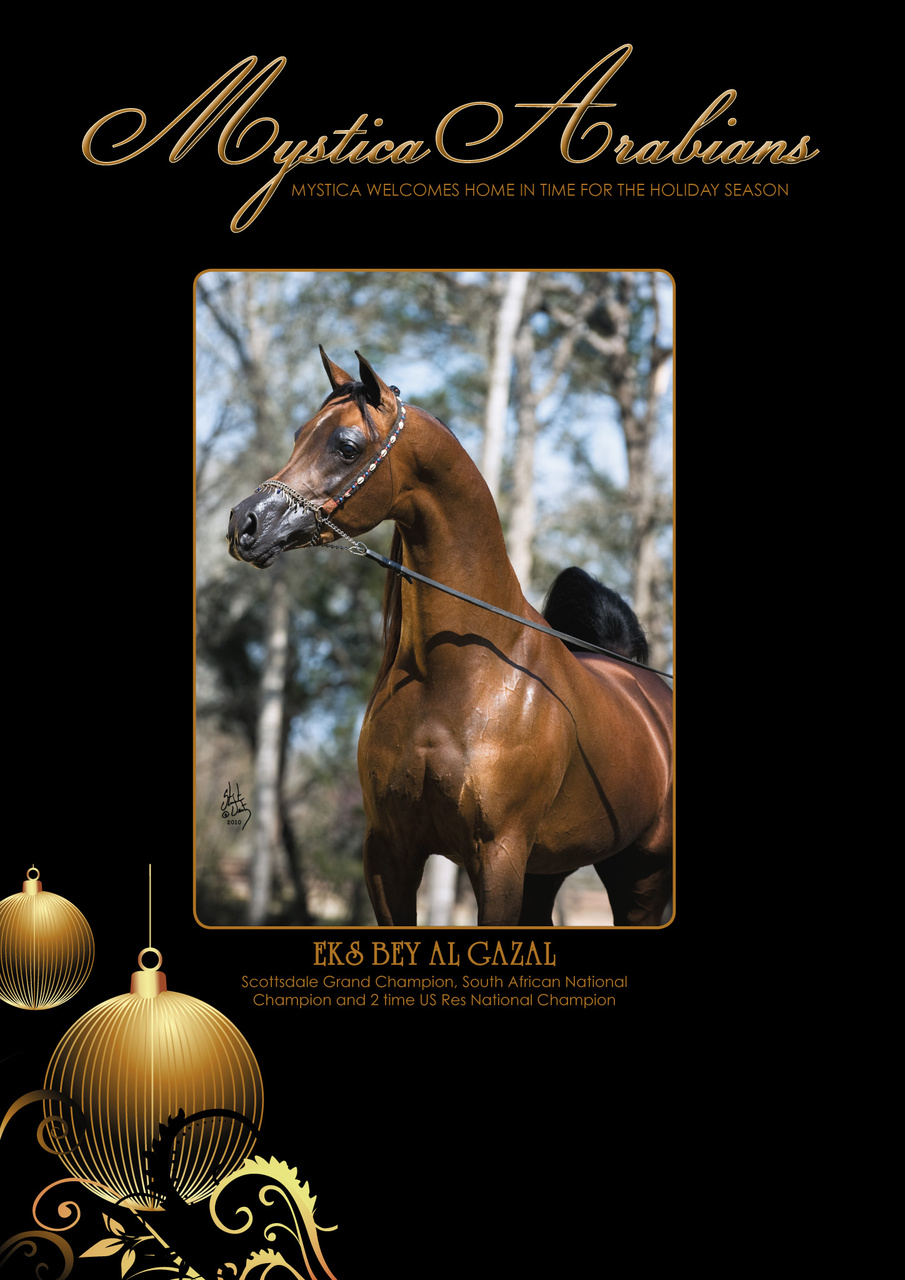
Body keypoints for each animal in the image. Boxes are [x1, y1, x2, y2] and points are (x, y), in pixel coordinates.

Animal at [227, 349, 673, 927]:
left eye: (347, 446)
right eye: (300, 434)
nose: (245, 523)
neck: (453, 680)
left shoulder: (499, 856)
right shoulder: (389, 852)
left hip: (642, 877)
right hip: (552, 869)